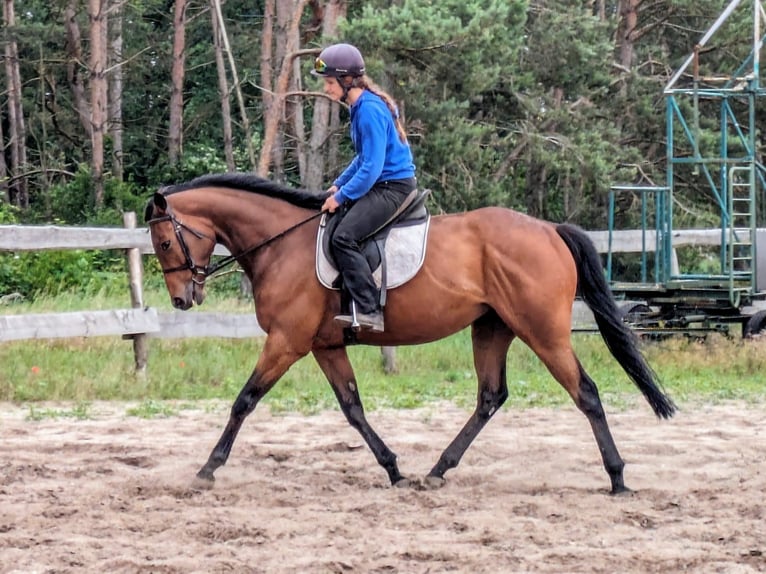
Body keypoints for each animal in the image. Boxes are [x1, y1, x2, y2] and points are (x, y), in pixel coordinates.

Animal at [146, 173, 680, 498]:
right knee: (490, 397)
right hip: (492, 328)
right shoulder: (324, 346)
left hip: (543, 332)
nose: (182, 299)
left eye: (166, 241)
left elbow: (245, 400)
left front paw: (207, 469)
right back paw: (437, 470)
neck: (281, 244)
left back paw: (617, 478)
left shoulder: (286, 341)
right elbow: (353, 409)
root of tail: (549, 230)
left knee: (585, 392)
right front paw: (394, 469)